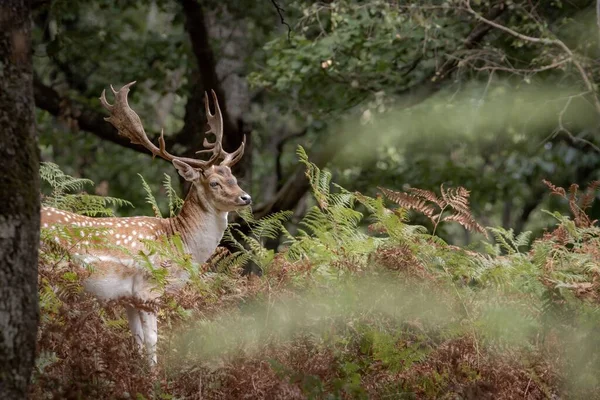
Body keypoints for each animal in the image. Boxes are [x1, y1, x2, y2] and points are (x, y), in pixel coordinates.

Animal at [39, 81, 251, 366]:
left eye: (234, 177)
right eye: (214, 182)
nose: (246, 197)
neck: (179, 245)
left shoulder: (129, 298)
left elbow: (137, 343)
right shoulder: (148, 292)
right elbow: (152, 344)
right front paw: (155, 377)